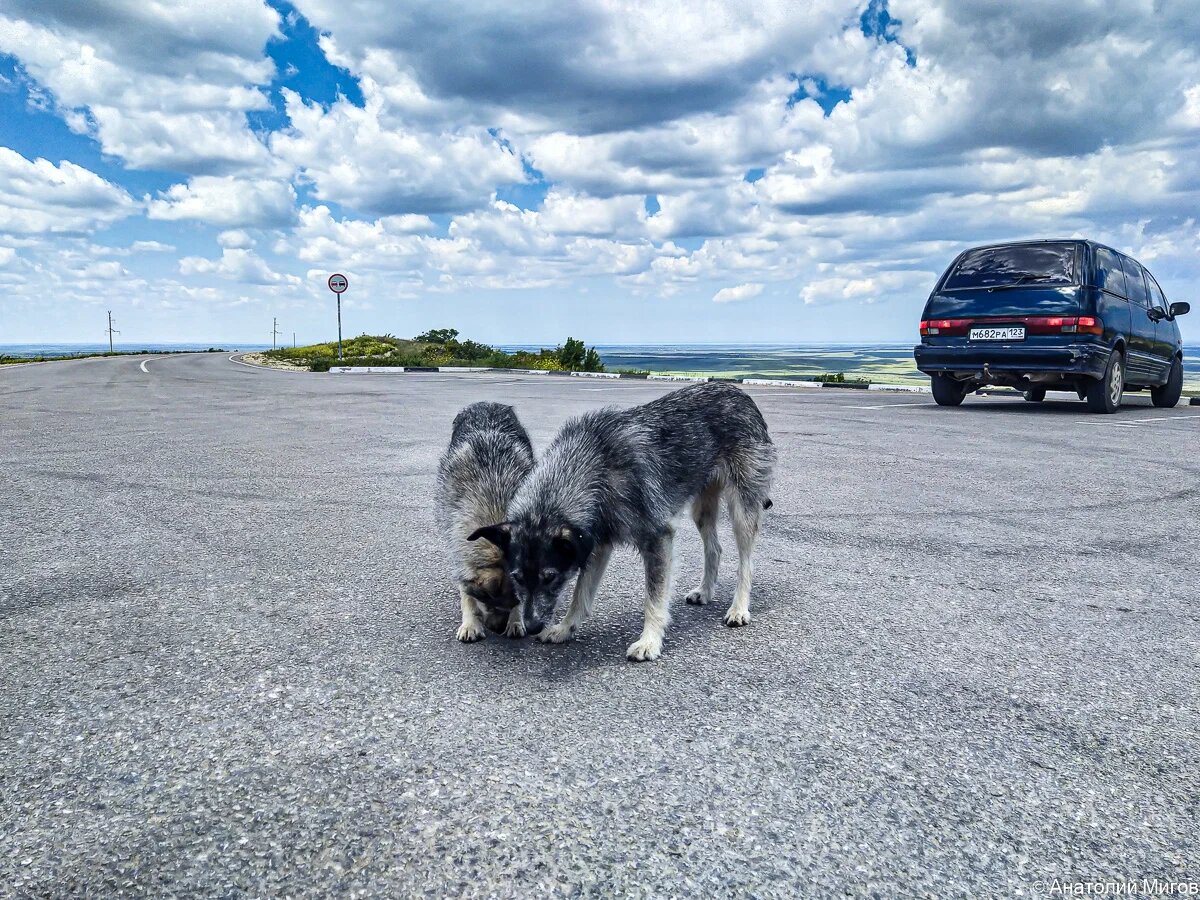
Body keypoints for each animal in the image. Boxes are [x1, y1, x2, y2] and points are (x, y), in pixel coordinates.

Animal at [436, 400, 535, 643]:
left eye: (515, 601)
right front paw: (470, 623)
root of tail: (488, 403)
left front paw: (516, 621)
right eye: (486, 598)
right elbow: (465, 593)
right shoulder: (459, 551)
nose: (497, 629)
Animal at [468, 381, 777, 662]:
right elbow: (580, 594)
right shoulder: (595, 545)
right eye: (517, 577)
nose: (531, 626)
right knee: (715, 548)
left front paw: (649, 641)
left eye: (550, 577)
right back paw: (705, 591)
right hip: (702, 508)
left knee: (746, 562)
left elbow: (654, 598)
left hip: (743, 508)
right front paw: (565, 628)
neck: (595, 467)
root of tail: (738, 392)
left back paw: (739, 609)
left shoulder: (658, 540)